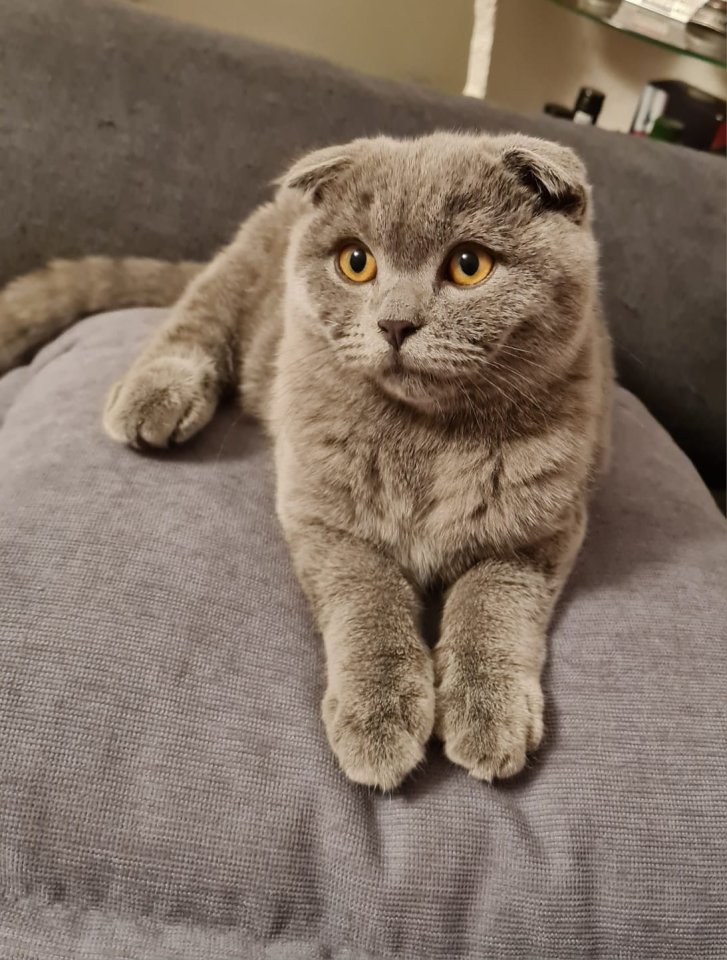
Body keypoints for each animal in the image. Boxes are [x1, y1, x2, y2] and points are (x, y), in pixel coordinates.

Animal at [0, 132, 612, 791]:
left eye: (469, 265)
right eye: (356, 262)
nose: (395, 323)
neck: (426, 436)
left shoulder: (539, 530)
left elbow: (493, 603)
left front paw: (487, 714)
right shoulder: (325, 516)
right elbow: (369, 601)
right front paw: (379, 720)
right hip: (240, 272)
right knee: (196, 315)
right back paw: (156, 396)